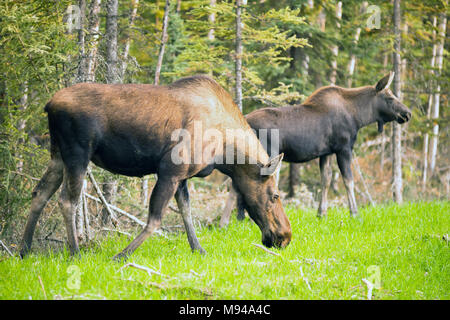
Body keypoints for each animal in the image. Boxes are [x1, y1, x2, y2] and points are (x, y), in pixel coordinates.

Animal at [19, 75, 290, 260]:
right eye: (275, 195)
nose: (285, 236)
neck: (225, 154)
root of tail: (48, 105)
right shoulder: (170, 170)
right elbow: (155, 220)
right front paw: (121, 255)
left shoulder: (182, 177)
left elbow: (186, 212)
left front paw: (199, 249)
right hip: (78, 153)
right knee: (68, 200)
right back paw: (75, 252)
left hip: (57, 154)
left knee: (39, 193)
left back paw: (24, 250)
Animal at [239, 72, 412, 218]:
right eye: (390, 98)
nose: (408, 113)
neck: (358, 116)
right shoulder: (344, 149)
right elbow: (348, 180)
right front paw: (354, 213)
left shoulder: (326, 153)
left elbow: (326, 180)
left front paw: (321, 213)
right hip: (266, 152)